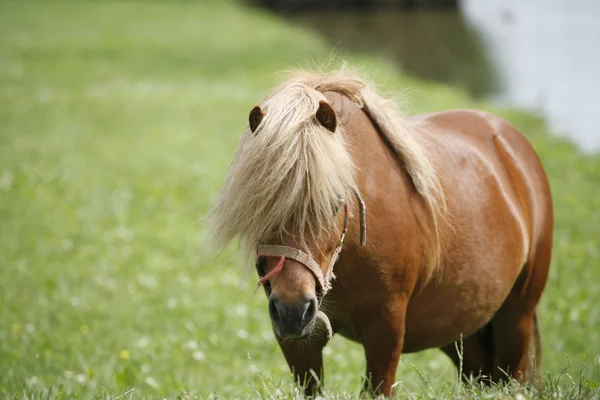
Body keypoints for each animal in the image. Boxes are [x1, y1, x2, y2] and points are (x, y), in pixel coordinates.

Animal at [210, 69, 552, 396]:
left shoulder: (386, 328)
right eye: (259, 203)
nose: (294, 309)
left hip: (517, 316)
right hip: (461, 330)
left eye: (336, 202)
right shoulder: (295, 338)